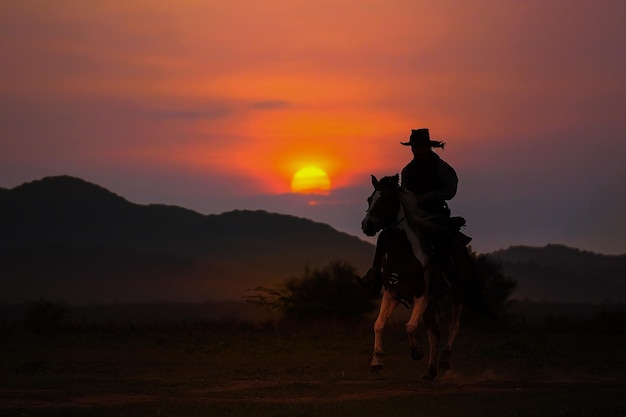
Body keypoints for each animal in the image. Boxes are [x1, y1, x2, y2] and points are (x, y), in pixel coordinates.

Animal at [358, 173, 470, 380]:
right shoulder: (392, 295)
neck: (405, 255)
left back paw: (444, 360)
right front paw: (376, 363)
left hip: (458, 293)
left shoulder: (422, 297)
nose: (367, 225)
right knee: (434, 334)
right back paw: (430, 371)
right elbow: (379, 324)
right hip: (430, 306)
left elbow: (409, 326)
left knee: (453, 326)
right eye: (370, 199)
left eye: (387, 199)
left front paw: (416, 352)